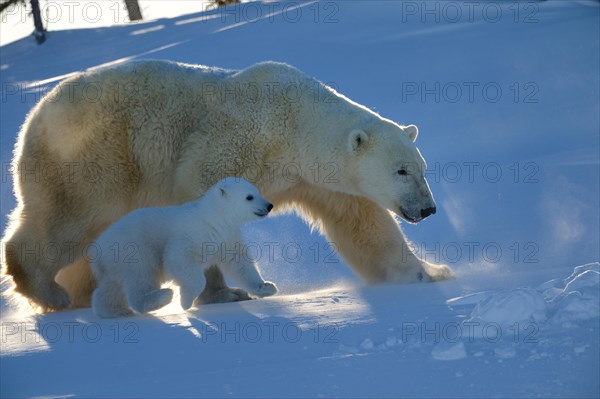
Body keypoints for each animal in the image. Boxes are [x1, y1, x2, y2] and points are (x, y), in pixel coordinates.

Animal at [0, 59, 450, 310]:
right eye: (401, 171)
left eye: (422, 167)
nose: (428, 208)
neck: (292, 122)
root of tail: (31, 118)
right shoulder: (232, 141)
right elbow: (204, 207)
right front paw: (224, 294)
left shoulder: (318, 179)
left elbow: (365, 225)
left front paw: (428, 273)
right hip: (94, 157)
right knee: (68, 218)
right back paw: (49, 293)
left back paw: (77, 293)